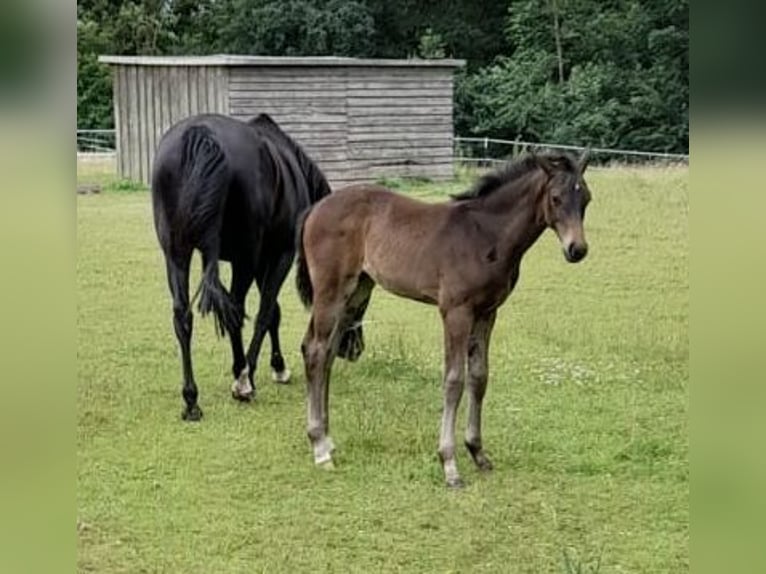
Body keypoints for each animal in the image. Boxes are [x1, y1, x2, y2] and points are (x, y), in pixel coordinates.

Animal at [152, 112, 330, 420]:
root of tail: (201, 134)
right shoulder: (277, 255)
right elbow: (267, 312)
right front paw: (262, 371)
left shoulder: (255, 260)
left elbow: (272, 312)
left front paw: (276, 366)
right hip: (244, 259)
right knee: (235, 309)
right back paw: (242, 380)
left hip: (176, 254)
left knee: (183, 316)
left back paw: (191, 400)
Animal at [296, 152, 592, 486]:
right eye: (556, 198)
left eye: (587, 199)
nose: (577, 249)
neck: (484, 234)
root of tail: (316, 207)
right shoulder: (456, 311)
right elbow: (454, 380)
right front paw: (449, 464)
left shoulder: (487, 312)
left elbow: (479, 377)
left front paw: (478, 452)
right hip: (331, 291)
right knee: (315, 350)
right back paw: (320, 448)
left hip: (356, 292)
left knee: (328, 353)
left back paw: (328, 440)